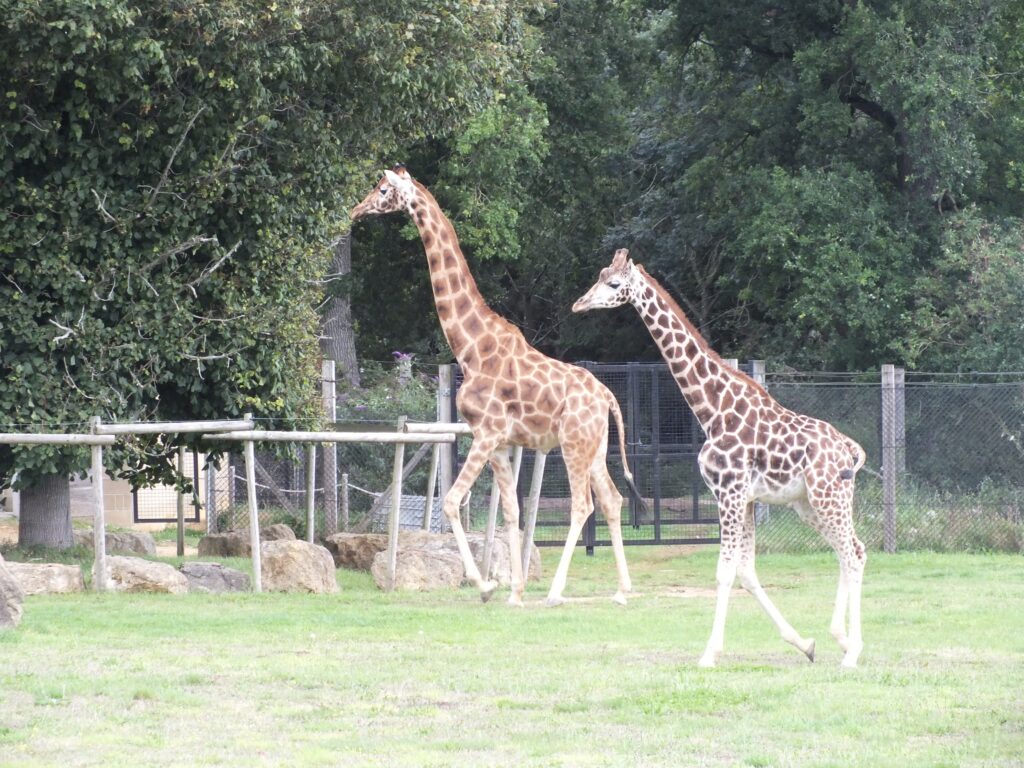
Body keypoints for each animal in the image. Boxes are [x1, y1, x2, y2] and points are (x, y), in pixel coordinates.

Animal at [350, 166, 638, 607]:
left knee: (581, 506)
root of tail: (607, 396)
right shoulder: (501, 443)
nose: (356, 210)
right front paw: (514, 592)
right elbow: (511, 513)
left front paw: (486, 586)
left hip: (573, 445)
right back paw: (622, 590)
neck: (470, 347)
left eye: (382, 190)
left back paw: (555, 592)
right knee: (611, 499)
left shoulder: (485, 434)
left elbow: (453, 501)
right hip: (595, 447)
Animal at [573, 249, 867, 668]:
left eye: (613, 284)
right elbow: (746, 571)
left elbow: (725, 571)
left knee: (853, 553)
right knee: (848, 551)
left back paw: (852, 651)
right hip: (809, 503)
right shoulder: (745, 499)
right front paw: (804, 643)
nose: (579, 304)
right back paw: (840, 640)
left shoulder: (729, 493)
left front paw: (709, 653)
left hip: (829, 498)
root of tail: (848, 448)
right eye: (599, 275)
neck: (712, 410)